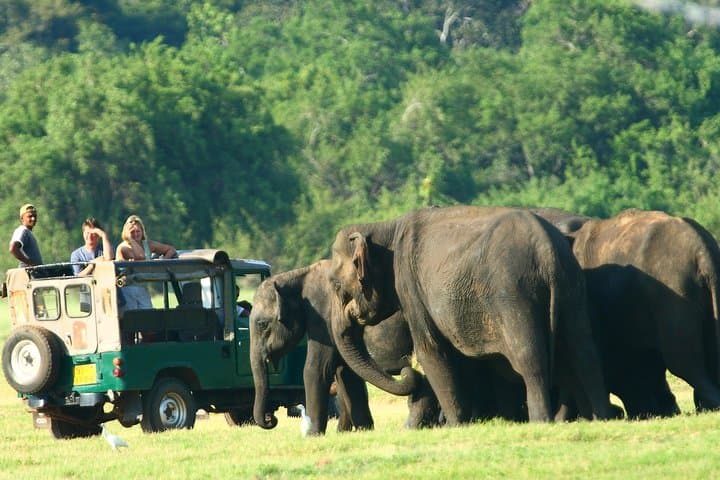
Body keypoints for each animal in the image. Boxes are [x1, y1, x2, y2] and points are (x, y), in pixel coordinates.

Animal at [328, 205, 616, 424]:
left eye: (336, 285)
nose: (408, 371)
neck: (385, 228)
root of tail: (548, 251)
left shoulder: (410, 287)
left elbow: (431, 350)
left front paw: (456, 425)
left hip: (514, 294)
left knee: (530, 358)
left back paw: (541, 421)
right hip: (572, 289)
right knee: (584, 351)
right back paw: (602, 418)